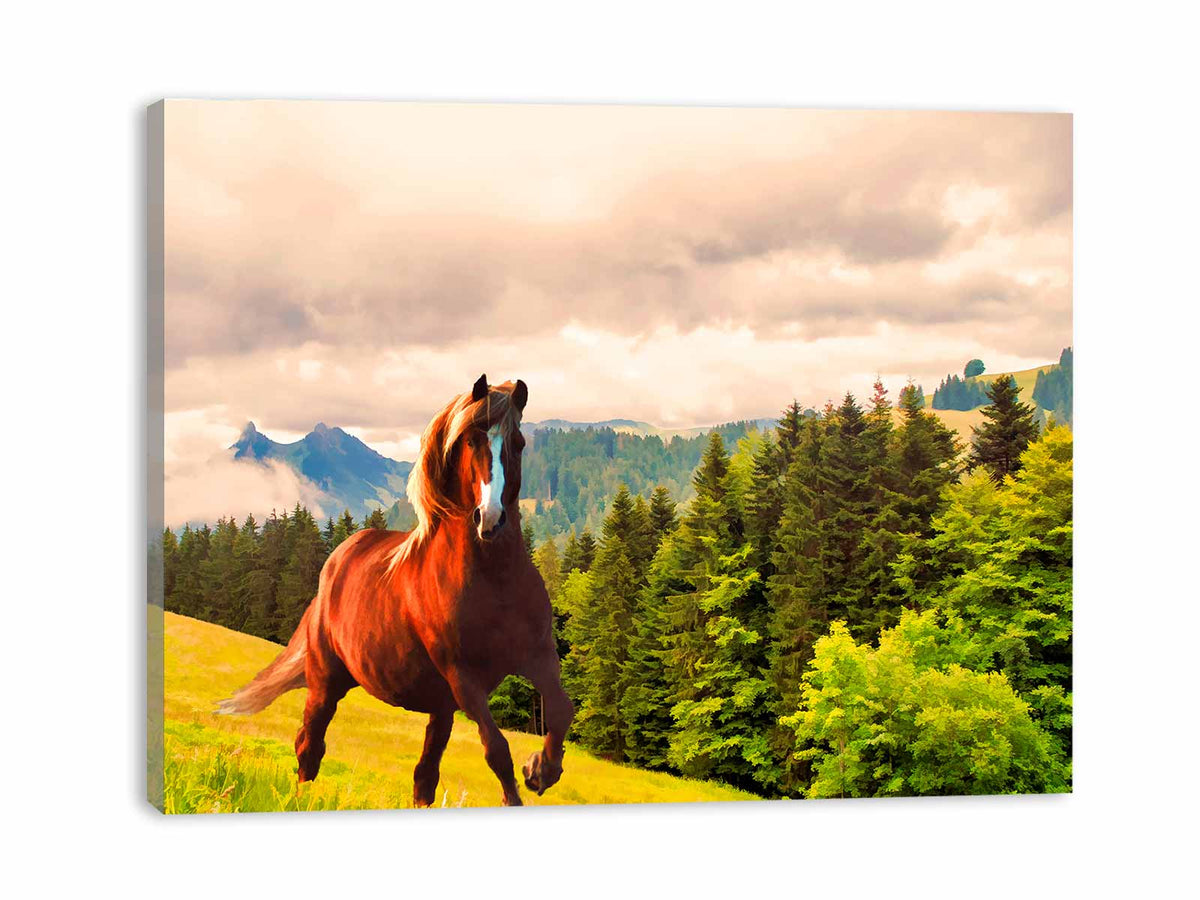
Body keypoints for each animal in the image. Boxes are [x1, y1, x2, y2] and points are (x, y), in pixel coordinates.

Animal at [218, 375, 573, 807]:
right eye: (471, 440)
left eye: (518, 442)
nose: (489, 520)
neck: (495, 582)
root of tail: (336, 563)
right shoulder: (463, 677)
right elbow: (497, 750)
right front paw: (528, 778)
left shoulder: (538, 655)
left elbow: (561, 711)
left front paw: (542, 770)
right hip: (326, 681)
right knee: (309, 745)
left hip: (439, 706)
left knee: (424, 774)